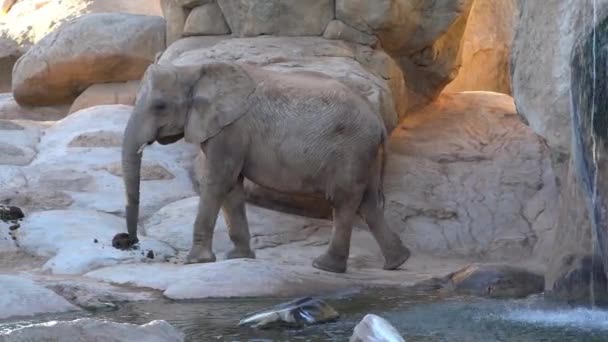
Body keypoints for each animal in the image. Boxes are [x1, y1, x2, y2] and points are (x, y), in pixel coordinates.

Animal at [120, 59, 410, 272]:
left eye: (159, 106)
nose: (130, 242)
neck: (193, 70)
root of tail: (379, 121)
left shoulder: (231, 129)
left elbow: (217, 182)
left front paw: (196, 261)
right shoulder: (229, 132)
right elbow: (231, 186)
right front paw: (239, 257)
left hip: (351, 148)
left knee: (344, 200)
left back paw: (325, 266)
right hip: (364, 153)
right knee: (369, 203)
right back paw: (397, 262)